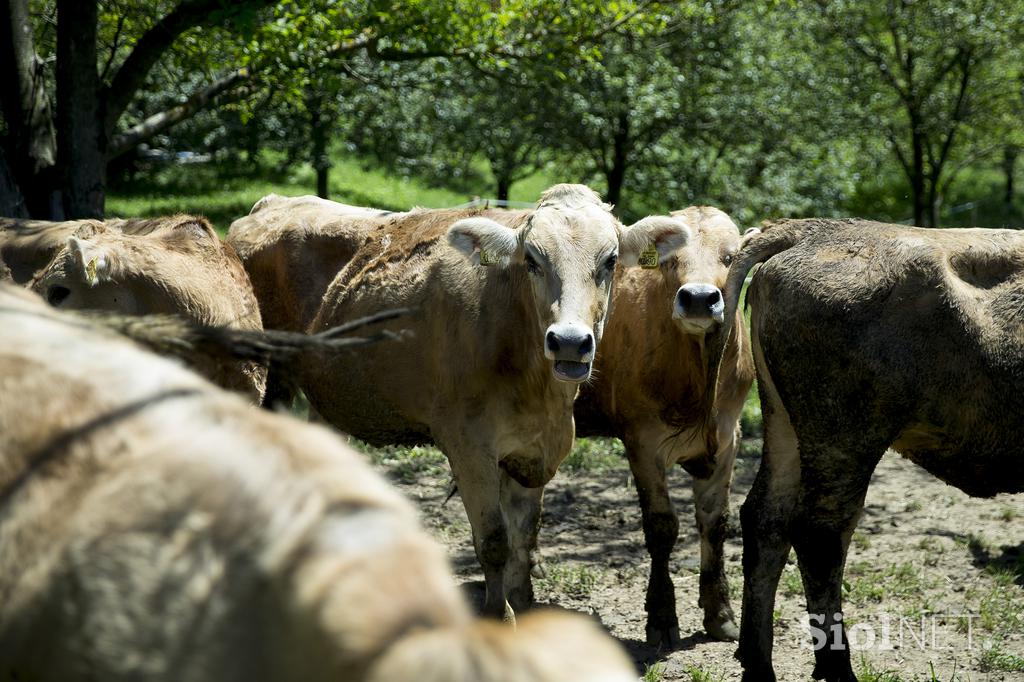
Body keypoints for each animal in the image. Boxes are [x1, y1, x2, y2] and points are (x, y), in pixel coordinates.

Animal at [577, 205, 761, 643]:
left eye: (729, 257)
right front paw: (661, 618)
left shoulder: (729, 438)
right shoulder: (642, 441)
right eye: (669, 261)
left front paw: (720, 613)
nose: (698, 299)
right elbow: (661, 527)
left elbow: (714, 523)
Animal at [716, 219, 1024, 679]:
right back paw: (838, 669)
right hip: (845, 441)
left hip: (785, 428)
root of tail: (807, 230)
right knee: (820, 536)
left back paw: (758, 663)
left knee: (765, 521)